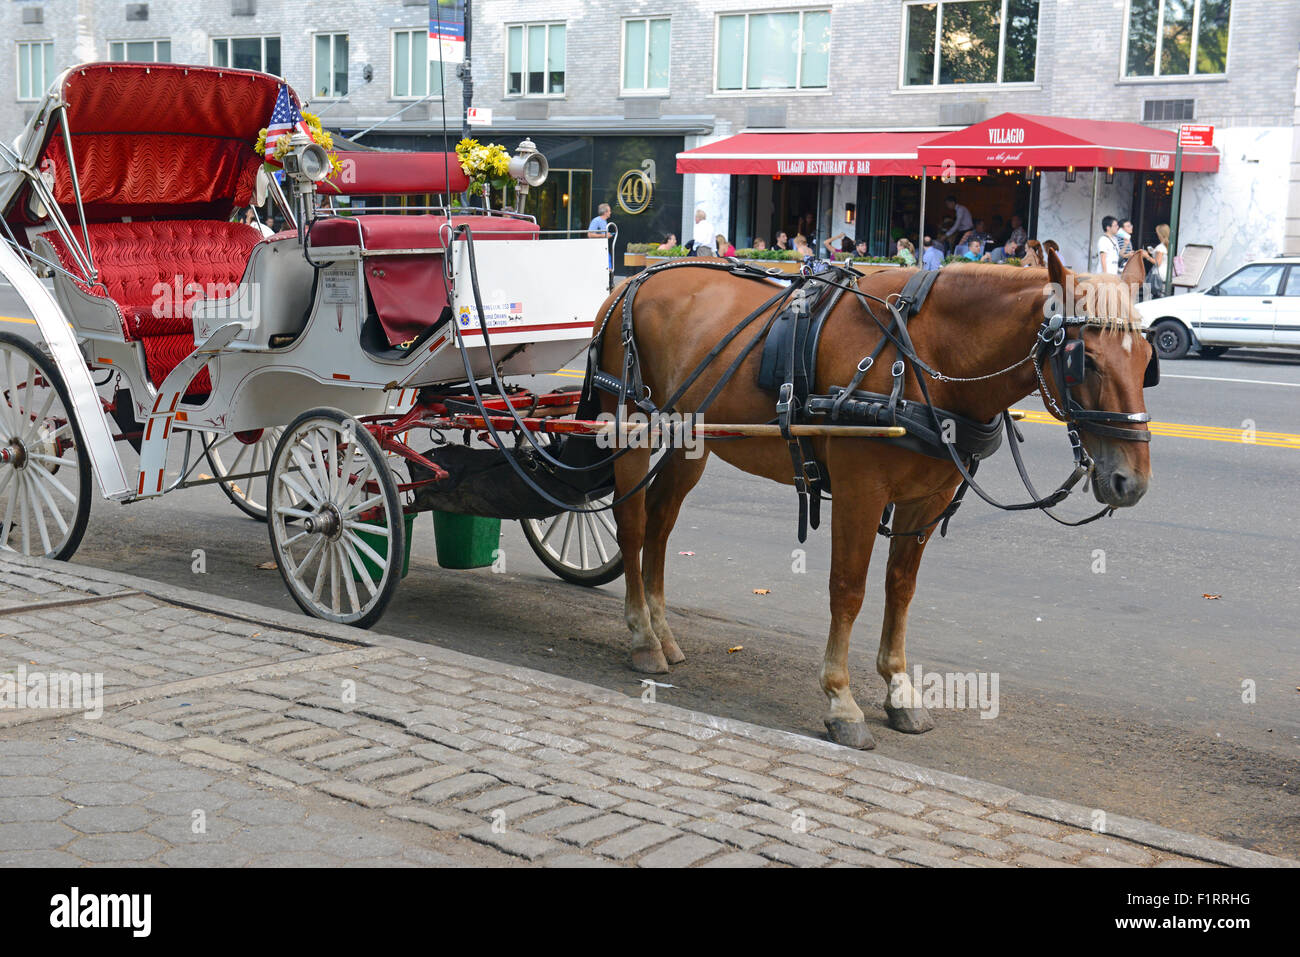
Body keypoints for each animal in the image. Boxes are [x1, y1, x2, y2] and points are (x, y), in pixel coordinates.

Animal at [594, 248, 1155, 750]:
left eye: (1148, 362)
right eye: (1086, 361)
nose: (1132, 482)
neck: (925, 356)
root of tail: (631, 280)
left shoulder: (926, 499)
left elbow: (900, 589)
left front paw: (900, 690)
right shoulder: (859, 491)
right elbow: (849, 590)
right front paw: (841, 701)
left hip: (691, 439)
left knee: (660, 524)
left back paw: (663, 631)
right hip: (630, 429)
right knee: (632, 525)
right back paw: (642, 637)